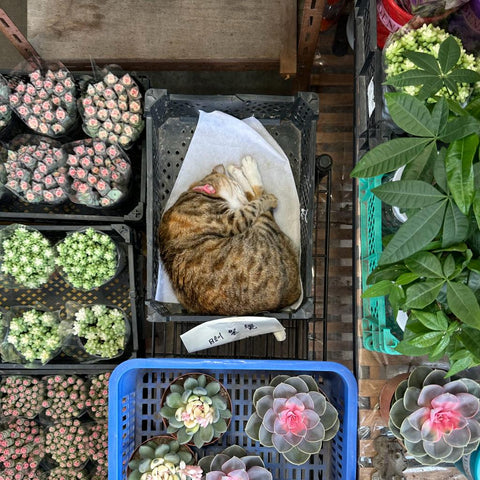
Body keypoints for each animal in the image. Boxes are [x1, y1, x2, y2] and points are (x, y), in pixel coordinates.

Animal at [158, 156, 300, 316]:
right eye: (235, 187)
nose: (239, 191)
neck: (197, 193)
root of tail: (293, 295)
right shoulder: (234, 220)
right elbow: (256, 202)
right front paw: (266, 198)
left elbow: (251, 200)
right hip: (265, 229)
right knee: (258, 197)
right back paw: (245, 169)